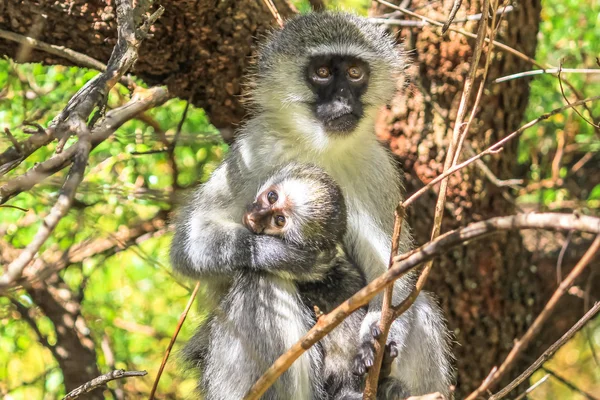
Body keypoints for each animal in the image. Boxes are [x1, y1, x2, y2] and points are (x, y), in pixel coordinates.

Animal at [173, 11, 454, 396]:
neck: (320, 146)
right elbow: (190, 244)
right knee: (260, 283)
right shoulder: (253, 149)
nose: (343, 101)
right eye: (321, 72)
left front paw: (376, 336)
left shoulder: (378, 169)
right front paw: (292, 258)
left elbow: (391, 276)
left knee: (420, 303)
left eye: (355, 72)